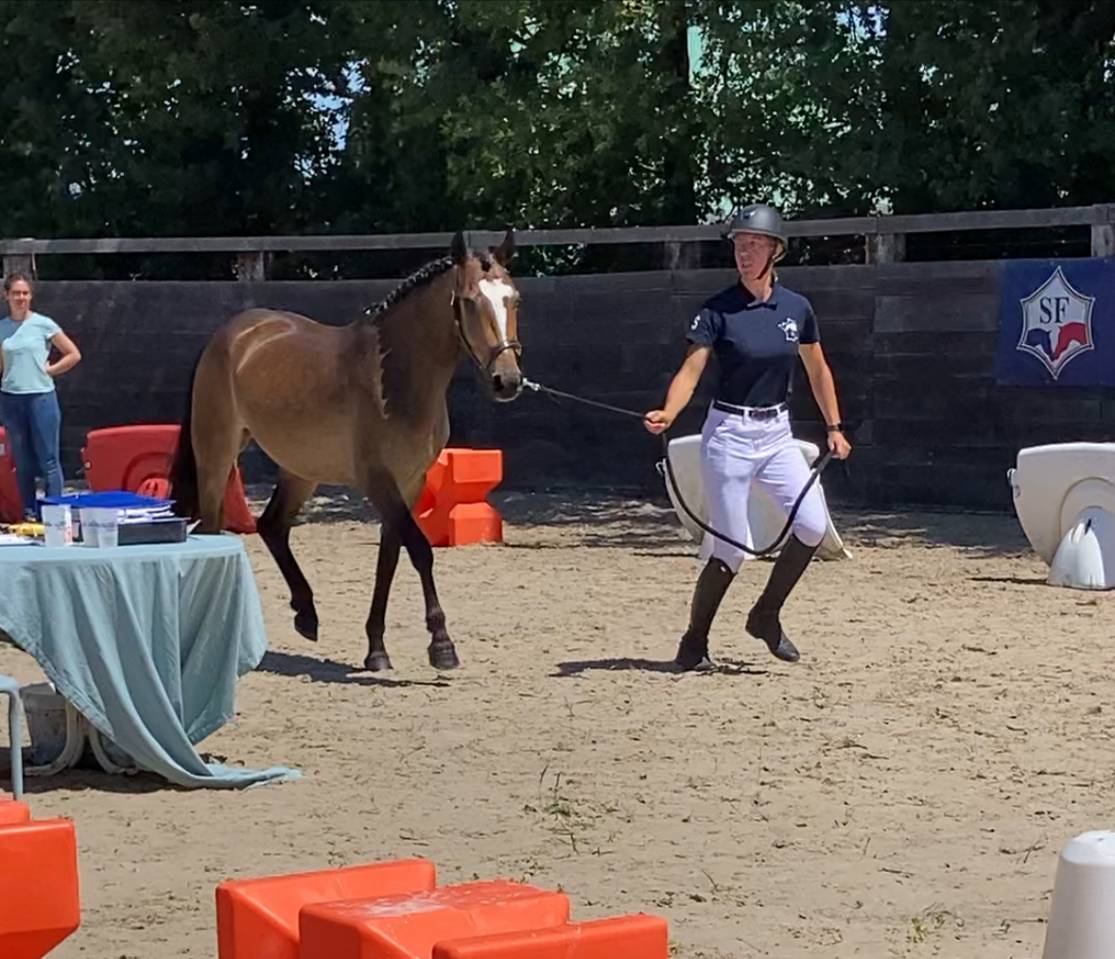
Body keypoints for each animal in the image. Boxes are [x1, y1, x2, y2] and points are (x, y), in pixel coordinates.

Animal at [169, 229, 524, 672]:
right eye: (470, 300)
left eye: (514, 298)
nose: (507, 381)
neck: (394, 379)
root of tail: (233, 333)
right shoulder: (377, 481)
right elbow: (420, 550)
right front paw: (442, 645)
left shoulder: (409, 482)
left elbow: (389, 558)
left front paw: (377, 649)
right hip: (216, 457)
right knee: (215, 529)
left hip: (302, 469)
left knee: (272, 526)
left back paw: (306, 614)